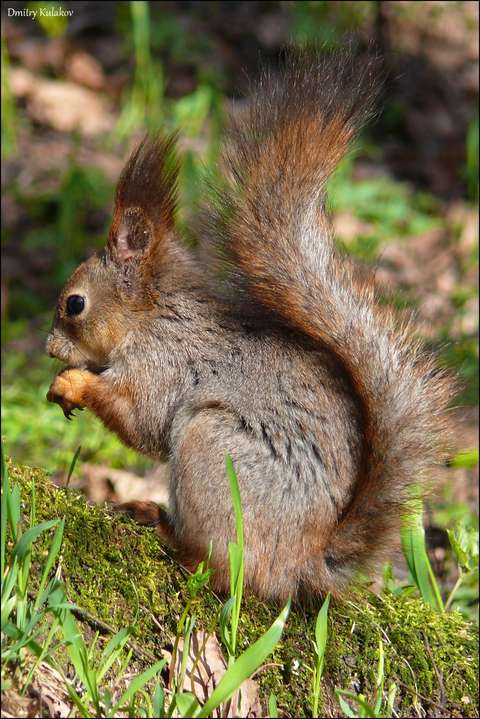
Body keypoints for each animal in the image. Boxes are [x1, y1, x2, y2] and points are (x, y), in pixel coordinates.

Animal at [45, 50, 454, 600]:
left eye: (75, 304)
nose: (48, 347)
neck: (153, 317)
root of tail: (305, 561)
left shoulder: (162, 365)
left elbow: (140, 419)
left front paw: (73, 383)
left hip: (215, 453)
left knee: (228, 571)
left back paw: (174, 540)